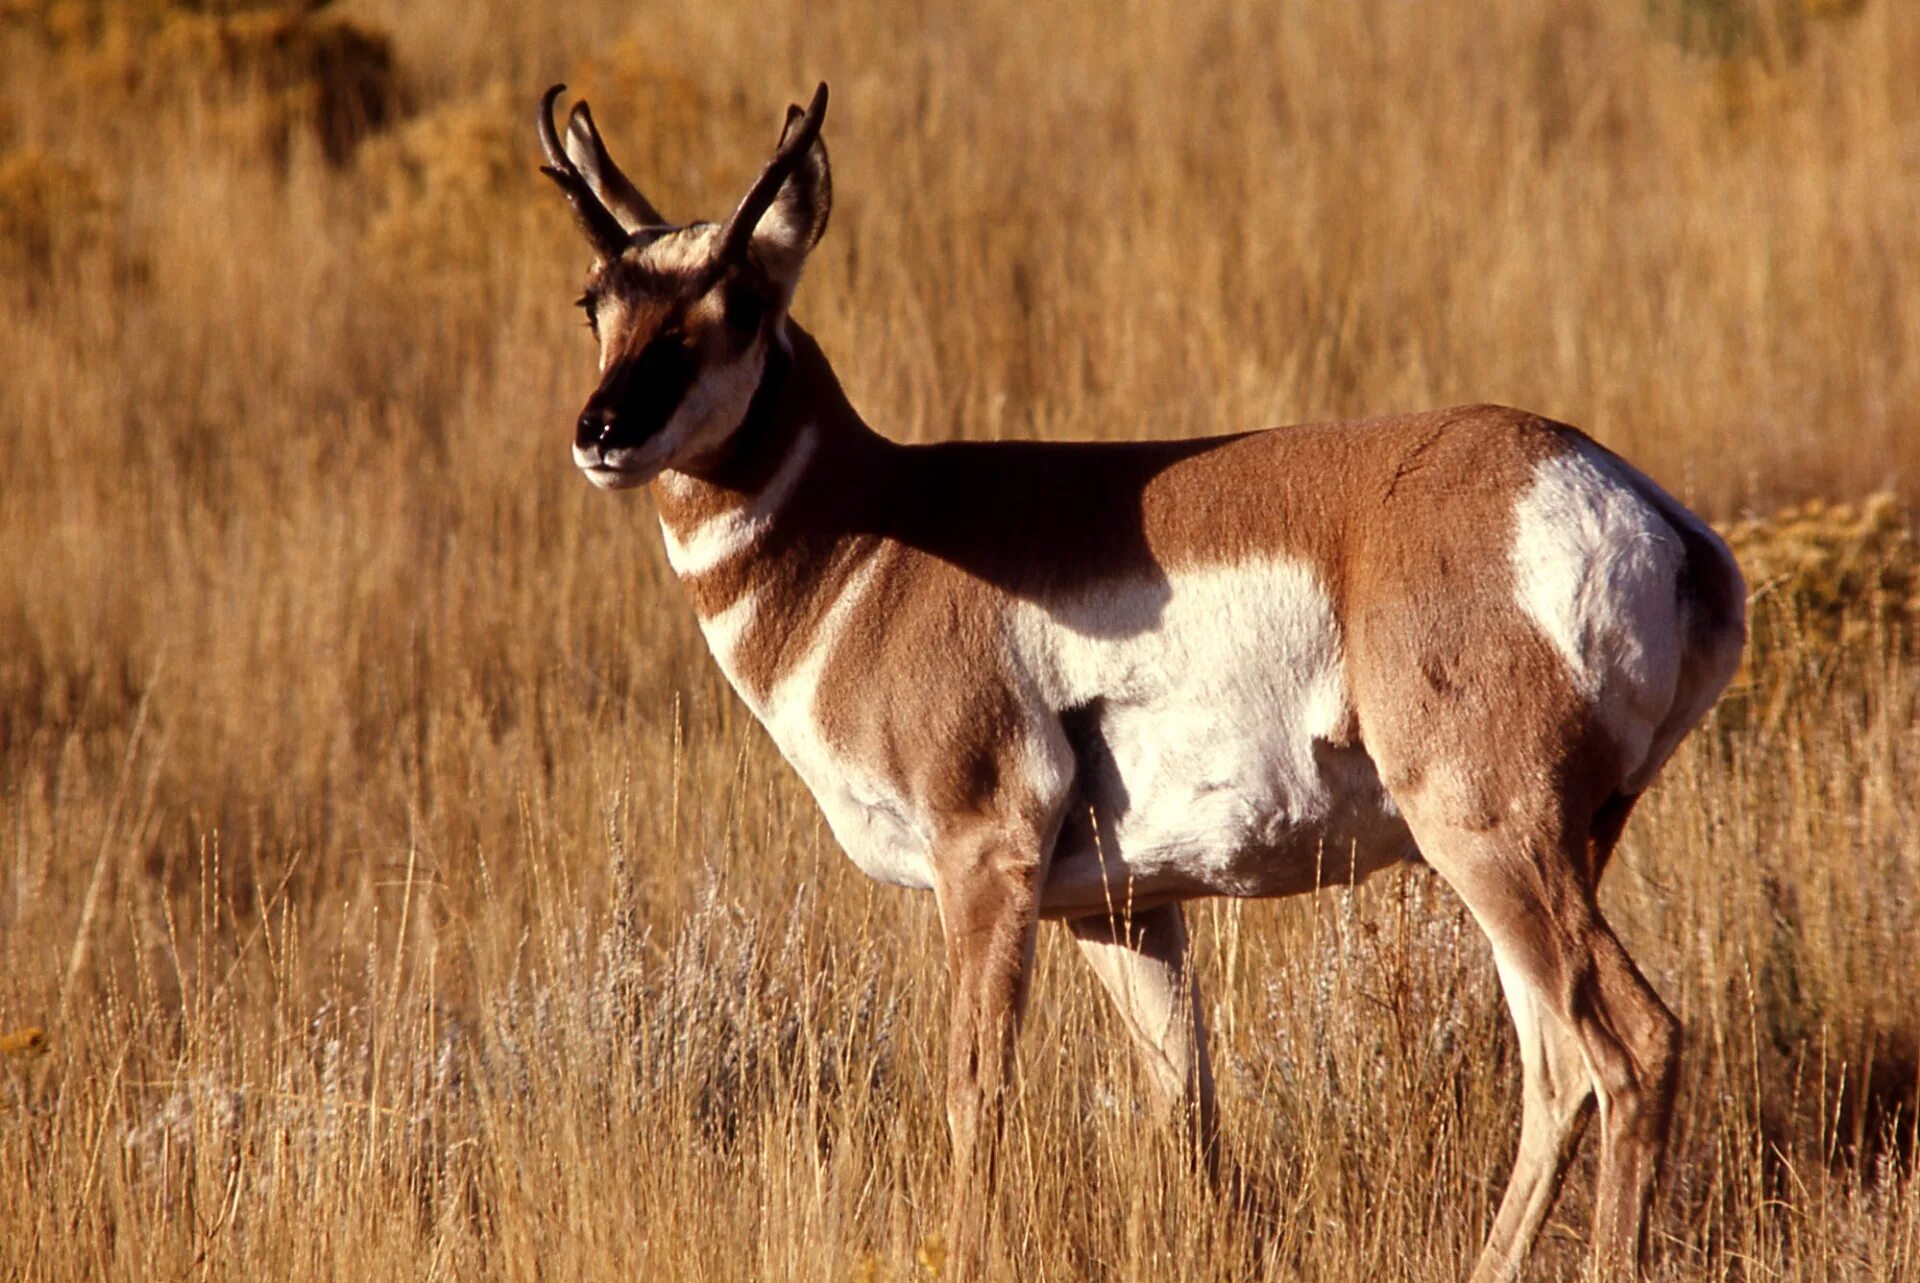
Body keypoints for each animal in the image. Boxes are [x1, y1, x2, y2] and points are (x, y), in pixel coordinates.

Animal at [533, 84, 1751, 1275]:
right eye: (597, 302)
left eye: (735, 304)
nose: (600, 431)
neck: (878, 531)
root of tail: (1649, 513)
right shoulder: (1120, 911)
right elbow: (1188, 1107)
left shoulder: (986, 858)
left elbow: (977, 1095)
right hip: (1547, 852)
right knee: (1556, 1070)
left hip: (1493, 836)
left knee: (1631, 1047)